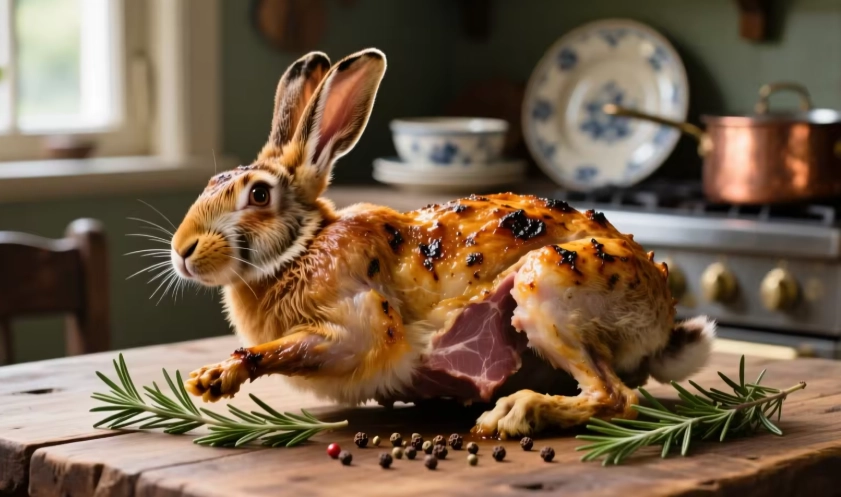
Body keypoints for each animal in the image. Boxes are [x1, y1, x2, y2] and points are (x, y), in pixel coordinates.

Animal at [172, 48, 716, 438]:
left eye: (259, 194)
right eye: (214, 181)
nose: (182, 249)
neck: (304, 248)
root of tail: (662, 316)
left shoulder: (358, 329)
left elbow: (286, 347)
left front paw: (212, 377)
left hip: (548, 286)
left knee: (615, 399)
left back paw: (515, 413)